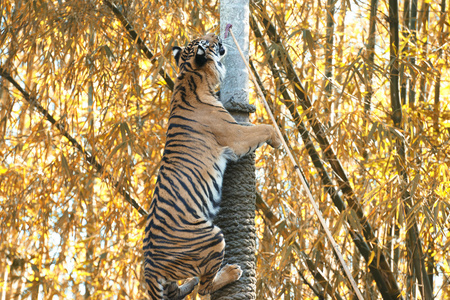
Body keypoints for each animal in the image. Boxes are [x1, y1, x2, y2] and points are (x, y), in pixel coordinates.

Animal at [143, 31, 282, 298]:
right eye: (206, 41)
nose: (216, 34)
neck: (188, 76)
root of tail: (149, 268)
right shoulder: (235, 137)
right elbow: (264, 127)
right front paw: (279, 139)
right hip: (213, 237)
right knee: (205, 288)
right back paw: (231, 272)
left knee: (183, 290)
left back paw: (190, 282)